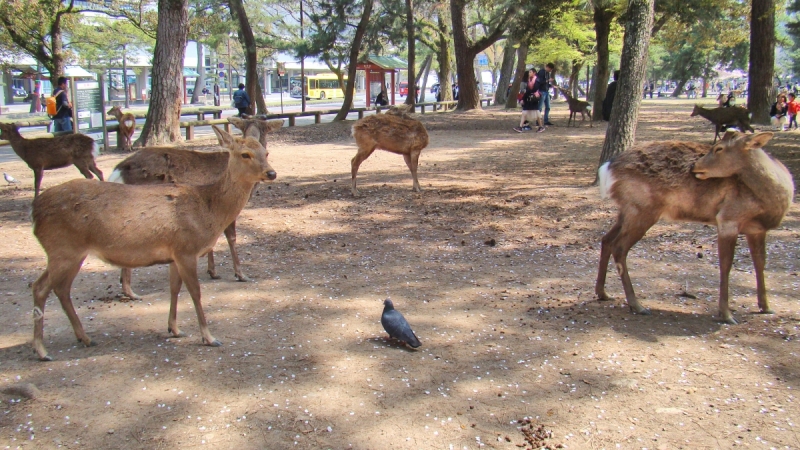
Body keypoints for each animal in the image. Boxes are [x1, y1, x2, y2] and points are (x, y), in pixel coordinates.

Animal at [108, 118, 284, 298]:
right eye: (245, 154)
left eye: (266, 153)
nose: (271, 173)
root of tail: (117, 172)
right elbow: (231, 237)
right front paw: (240, 274)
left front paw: (213, 272)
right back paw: (130, 292)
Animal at [592, 130, 792, 324]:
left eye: (719, 148)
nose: (694, 166)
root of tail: (606, 168)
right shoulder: (728, 219)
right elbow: (726, 264)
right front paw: (726, 315)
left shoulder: (757, 229)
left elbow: (760, 262)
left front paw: (766, 307)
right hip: (642, 209)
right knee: (619, 246)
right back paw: (637, 305)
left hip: (628, 210)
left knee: (606, 239)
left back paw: (603, 293)